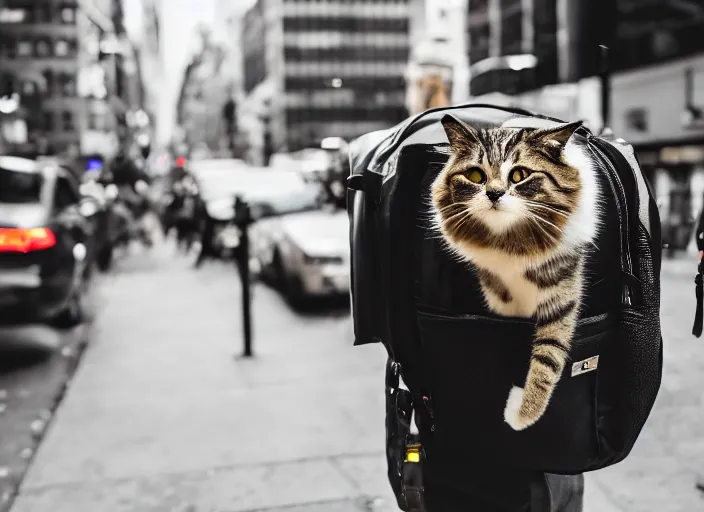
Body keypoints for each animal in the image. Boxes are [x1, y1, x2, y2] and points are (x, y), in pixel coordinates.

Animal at [428, 114, 600, 430]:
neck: (509, 240)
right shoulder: (498, 295)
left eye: (519, 175)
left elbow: (548, 357)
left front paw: (522, 414)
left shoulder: (561, 296)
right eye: (476, 176)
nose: (494, 193)